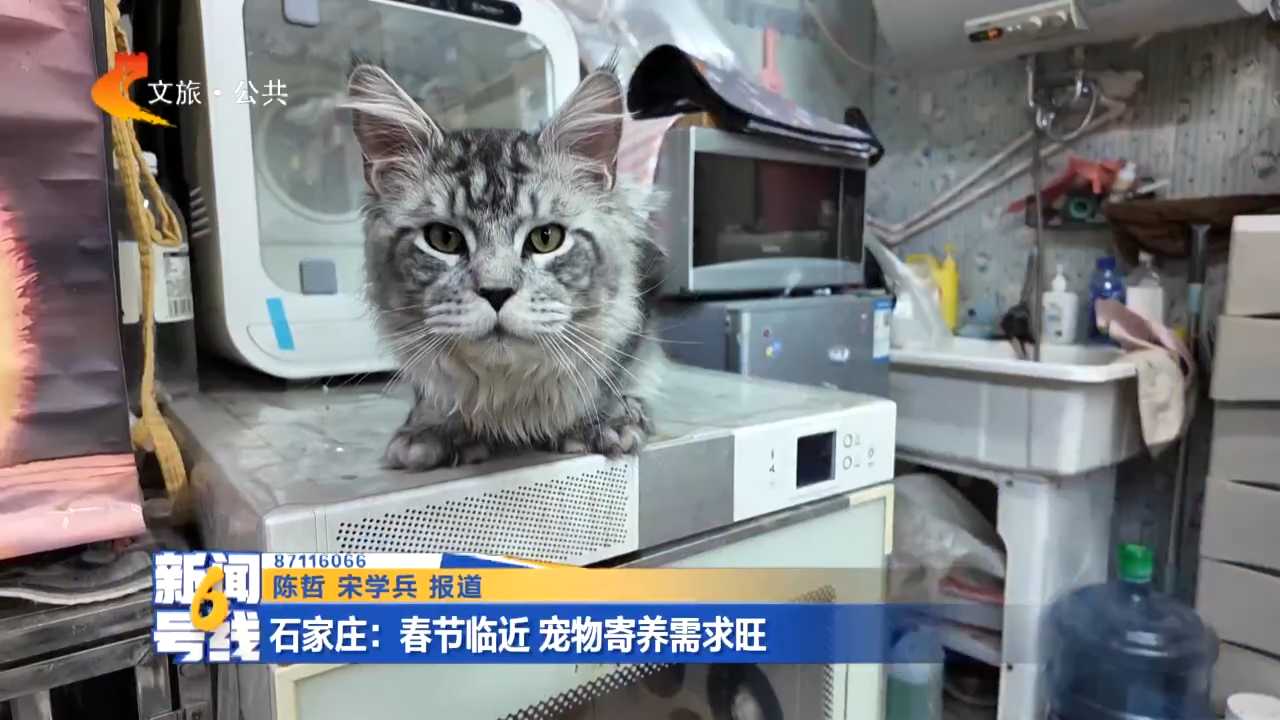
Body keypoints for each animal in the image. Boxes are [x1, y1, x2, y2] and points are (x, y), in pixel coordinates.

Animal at [345, 62, 666, 471]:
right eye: (443, 239)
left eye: (546, 238)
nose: (496, 292)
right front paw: (432, 427)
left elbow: (607, 375)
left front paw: (601, 419)